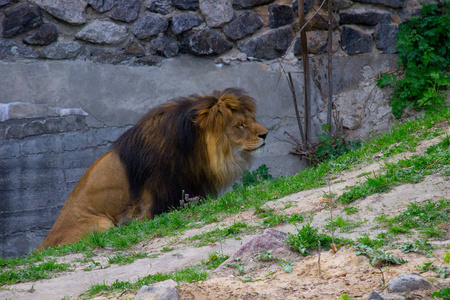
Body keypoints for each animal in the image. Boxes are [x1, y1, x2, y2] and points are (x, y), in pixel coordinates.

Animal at [36, 88, 268, 251]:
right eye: (240, 125)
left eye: (252, 119)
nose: (265, 134)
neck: (195, 150)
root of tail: (40, 246)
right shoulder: (150, 205)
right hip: (100, 223)